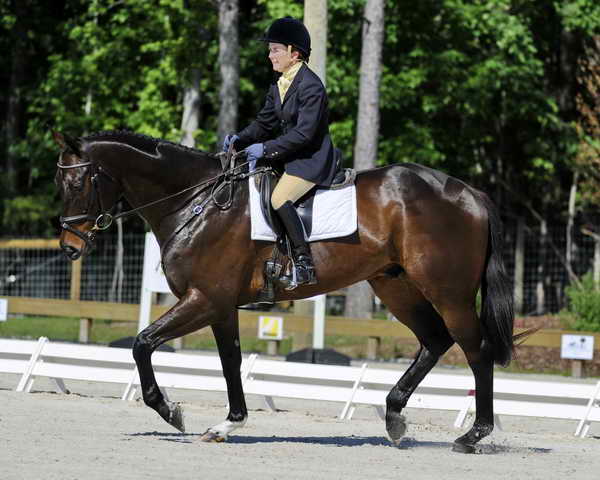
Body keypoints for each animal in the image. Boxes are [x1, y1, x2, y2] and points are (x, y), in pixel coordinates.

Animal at [54, 129, 516, 452]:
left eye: (78, 185)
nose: (70, 246)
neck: (196, 203)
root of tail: (469, 192)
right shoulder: (221, 306)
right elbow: (230, 362)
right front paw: (228, 424)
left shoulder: (204, 299)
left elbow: (142, 343)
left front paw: (171, 411)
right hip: (395, 285)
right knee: (434, 341)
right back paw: (395, 419)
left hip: (448, 292)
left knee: (476, 351)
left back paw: (472, 436)